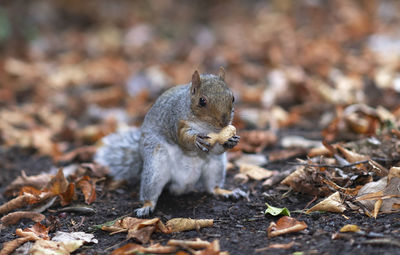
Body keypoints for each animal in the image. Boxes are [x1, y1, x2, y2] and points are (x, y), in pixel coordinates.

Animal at [94, 66, 244, 216]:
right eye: (202, 101)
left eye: (233, 98)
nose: (224, 122)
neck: (206, 126)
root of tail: (182, 184)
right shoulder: (176, 122)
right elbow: (183, 139)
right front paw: (196, 139)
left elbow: (217, 148)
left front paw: (231, 140)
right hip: (156, 167)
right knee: (150, 190)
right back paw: (146, 206)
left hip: (216, 166)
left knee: (212, 187)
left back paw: (225, 192)